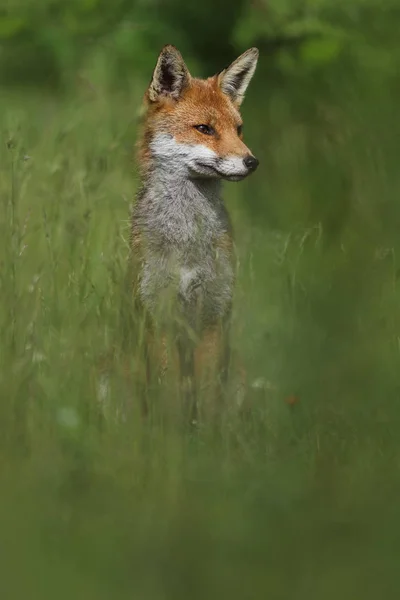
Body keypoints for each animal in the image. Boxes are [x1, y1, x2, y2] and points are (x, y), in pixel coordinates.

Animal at [131, 44, 260, 422]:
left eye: (239, 130)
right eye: (205, 129)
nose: (252, 162)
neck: (188, 239)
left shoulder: (214, 313)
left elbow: (208, 394)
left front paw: (205, 436)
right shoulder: (159, 312)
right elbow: (167, 392)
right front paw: (169, 434)